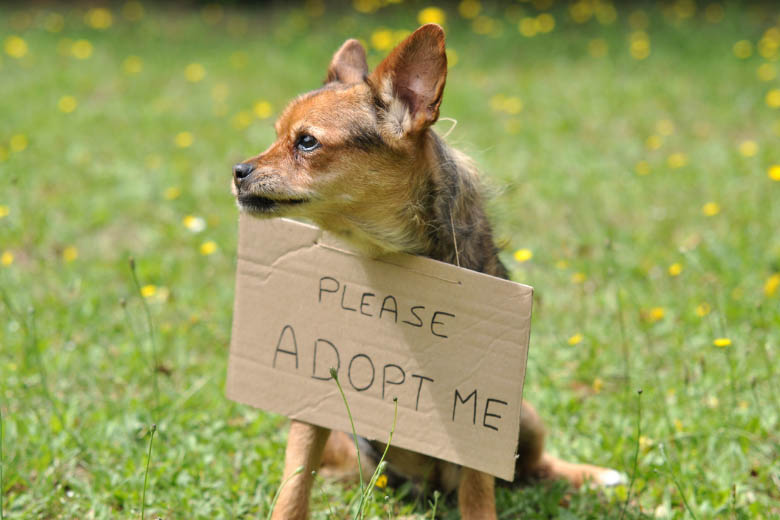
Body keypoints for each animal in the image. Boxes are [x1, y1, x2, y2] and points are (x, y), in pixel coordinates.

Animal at [230, 24, 620, 520]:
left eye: (307, 142)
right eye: (277, 136)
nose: (238, 170)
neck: (384, 251)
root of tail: (430, 489)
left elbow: (479, 493)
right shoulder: (310, 398)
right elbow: (295, 483)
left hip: (524, 418)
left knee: (535, 468)